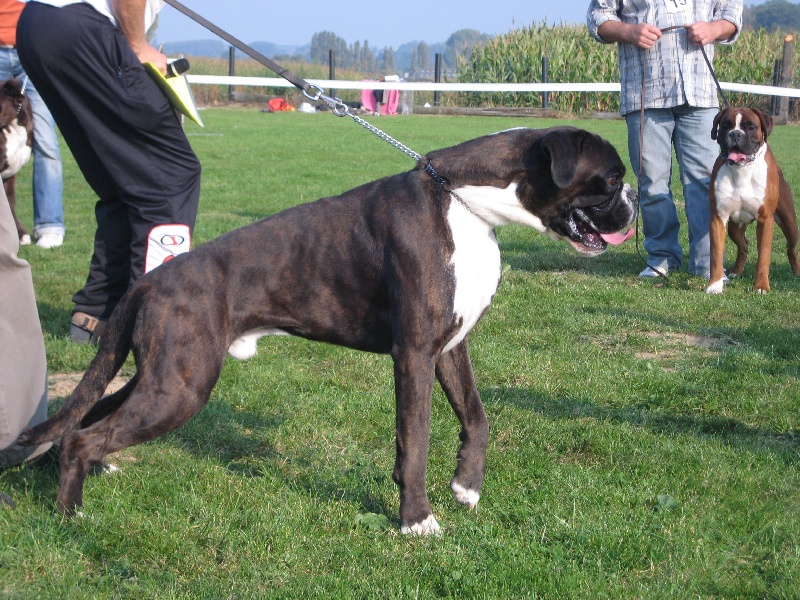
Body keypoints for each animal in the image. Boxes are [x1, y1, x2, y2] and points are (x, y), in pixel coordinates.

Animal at [17, 127, 636, 536]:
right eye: (610, 180)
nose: (631, 204)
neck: (465, 202)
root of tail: (148, 281)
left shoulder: (450, 348)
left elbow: (477, 417)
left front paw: (466, 485)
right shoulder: (414, 354)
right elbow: (415, 440)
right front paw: (417, 520)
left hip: (162, 375)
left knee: (86, 418)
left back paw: (93, 471)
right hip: (180, 387)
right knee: (82, 433)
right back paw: (71, 517)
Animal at [708, 109, 796, 296]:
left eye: (750, 127)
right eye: (725, 126)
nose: (735, 134)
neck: (741, 170)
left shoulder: (765, 220)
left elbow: (763, 256)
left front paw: (761, 286)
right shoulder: (718, 219)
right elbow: (716, 255)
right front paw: (715, 285)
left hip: (790, 224)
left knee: (791, 248)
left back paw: (797, 273)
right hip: (734, 228)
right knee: (744, 245)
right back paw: (736, 271)